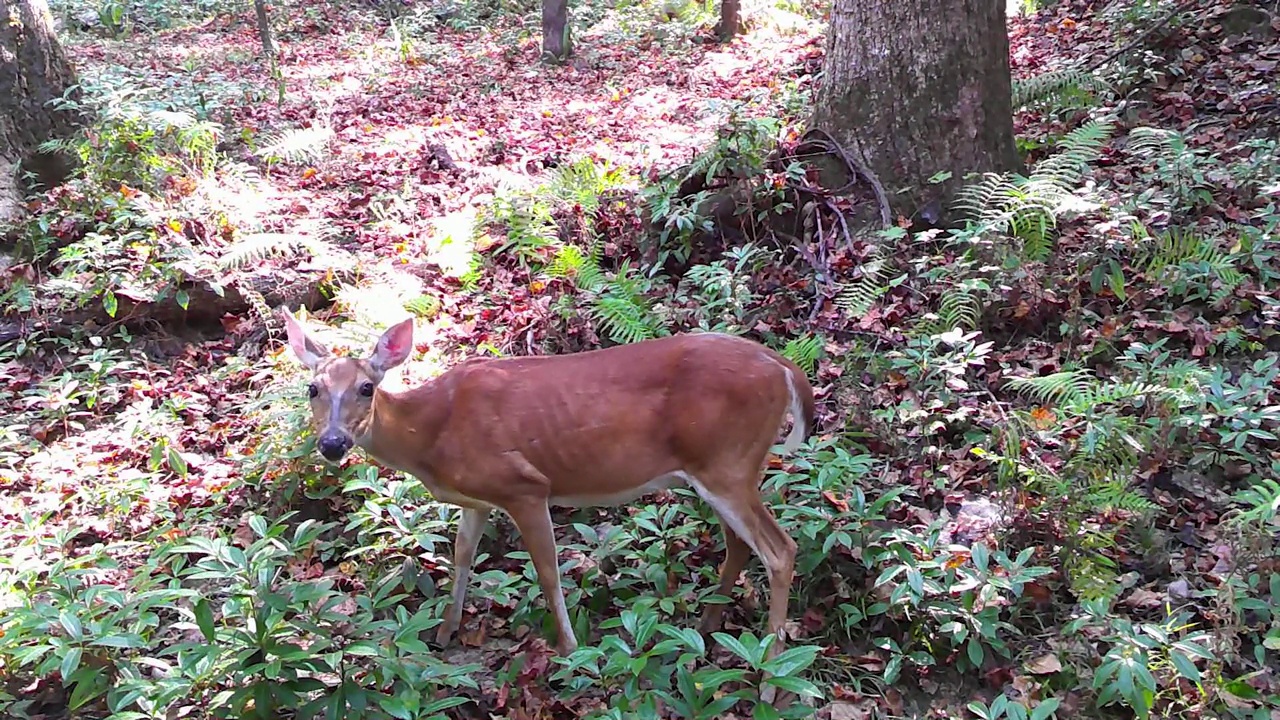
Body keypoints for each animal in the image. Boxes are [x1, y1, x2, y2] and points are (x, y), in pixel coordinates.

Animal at [282, 308, 819, 676]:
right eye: (312, 389)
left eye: (366, 388)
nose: (333, 444)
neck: (433, 433)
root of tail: (785, 367)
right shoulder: (479, 499)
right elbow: (462, 555)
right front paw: (444, 632)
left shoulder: (524, 485)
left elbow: (547, 571)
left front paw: (569, 651)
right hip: (719, 469)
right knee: (739, 544)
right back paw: (707, 629)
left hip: (727, 461)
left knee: (780, 549)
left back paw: (772, 667)